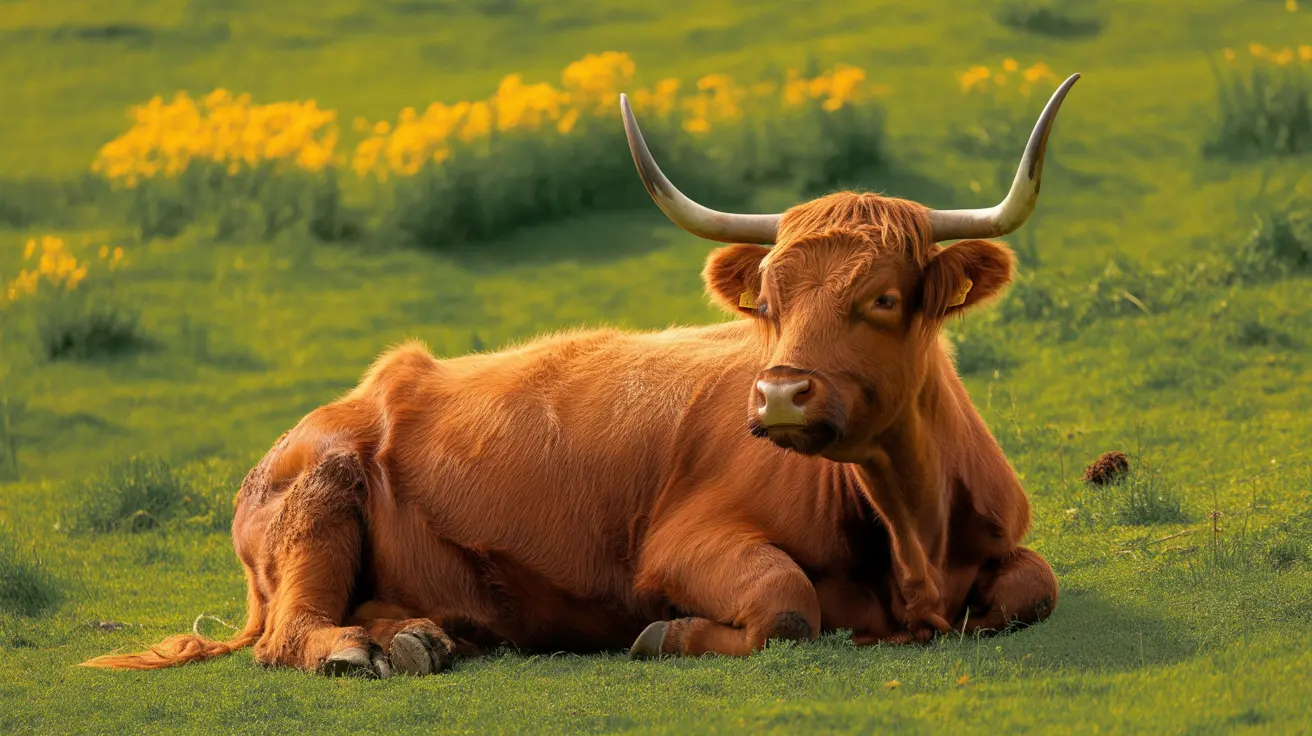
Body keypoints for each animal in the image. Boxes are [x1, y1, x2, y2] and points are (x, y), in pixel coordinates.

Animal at [83, 74, 1079, 677]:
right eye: (766, 298)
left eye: (882, 296)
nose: (779, 395)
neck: (911, 542)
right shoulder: (682, 543)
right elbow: (787, 605)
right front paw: (669, 633)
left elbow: (1034, 587)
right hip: (318, 501)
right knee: (290, 630)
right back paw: (357, 650)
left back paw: (417, 637)